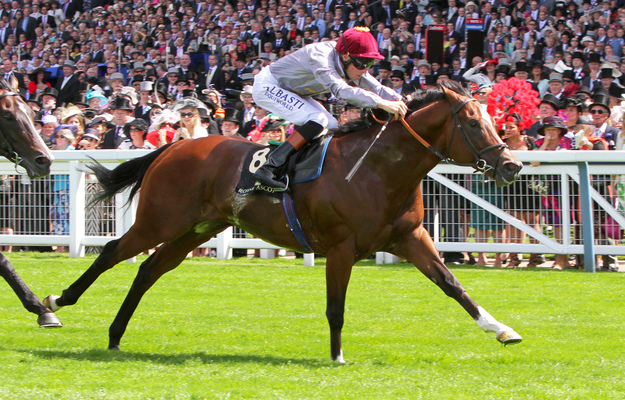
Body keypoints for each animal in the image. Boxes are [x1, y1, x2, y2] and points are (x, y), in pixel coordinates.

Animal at [42, 81, 520, 362]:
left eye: (492, 119)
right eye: (473, 122)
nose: (512, 166)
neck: (378, 169)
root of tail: (174, 145)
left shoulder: (410, 237)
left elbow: (452, 284)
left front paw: (502, 330)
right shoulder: (341, 247)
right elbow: (335, 306)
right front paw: (337, 357)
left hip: (196, 229)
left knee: (148, 269)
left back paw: (115, 335)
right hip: (161, 220)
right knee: (112, 252)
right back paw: (57, 302)